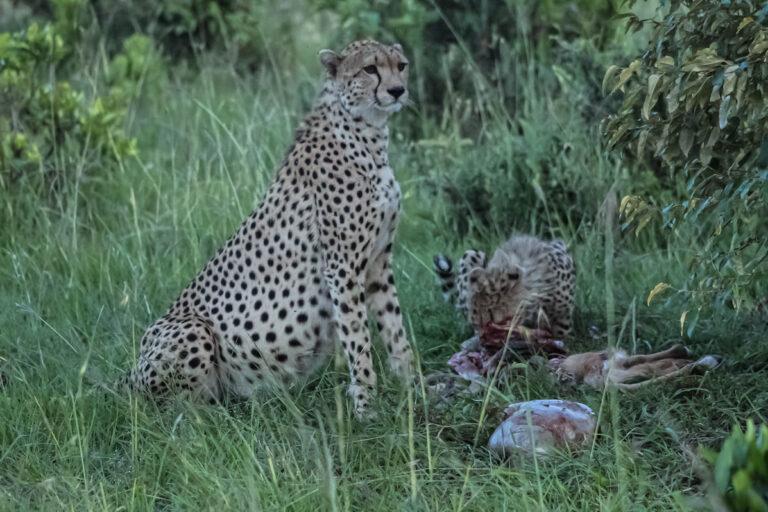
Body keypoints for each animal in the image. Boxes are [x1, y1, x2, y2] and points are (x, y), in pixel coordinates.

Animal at [126, 39, 414, 416]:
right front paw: (366, 407)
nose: (397, 90)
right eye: (370, 69)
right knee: (175, 409)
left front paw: (413, 387)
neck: (368, 136)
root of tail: (130, 375)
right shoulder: (342, 267)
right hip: (191, 330)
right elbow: (357, 339)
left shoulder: (378, 262)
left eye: (401, 65)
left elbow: (395, 330)